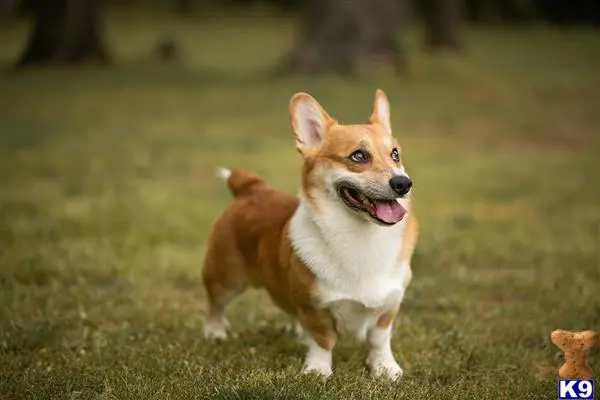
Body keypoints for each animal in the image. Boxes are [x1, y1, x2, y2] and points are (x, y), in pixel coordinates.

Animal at [202, 89, 418, 380]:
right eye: (359, 156)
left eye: (395, 154)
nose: (403, 183)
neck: (362, 236)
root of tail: (250, 187)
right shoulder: (314, 307)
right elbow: (323, 339)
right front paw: (317, 370)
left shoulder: (389, 304)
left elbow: (379, 339)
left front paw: (385, 368)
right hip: (226, 275)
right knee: (216, 304)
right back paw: (215, 332)